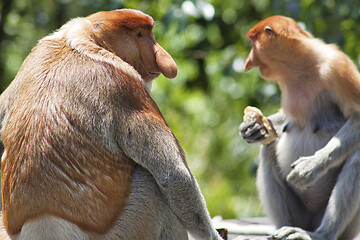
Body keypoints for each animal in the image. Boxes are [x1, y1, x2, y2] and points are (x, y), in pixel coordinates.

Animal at [0, 9, 222, 240]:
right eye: (140, 35)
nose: (164, 60)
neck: (82, 41)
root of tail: (44, 226)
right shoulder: (127, 88)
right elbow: (174, 176)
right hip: (131, 226)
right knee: (152, 184)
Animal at [239, 15, 360, 239]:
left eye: (252, 44)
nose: (247, 62)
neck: (302, 65)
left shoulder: (337, 67)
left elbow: (357, 117)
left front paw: (310, 166)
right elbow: (286, 121)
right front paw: (254, 128)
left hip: (344, 227)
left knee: (358, 156)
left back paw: (320, 234)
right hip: (301, 215)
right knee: (268, 150)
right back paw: (283, 228)